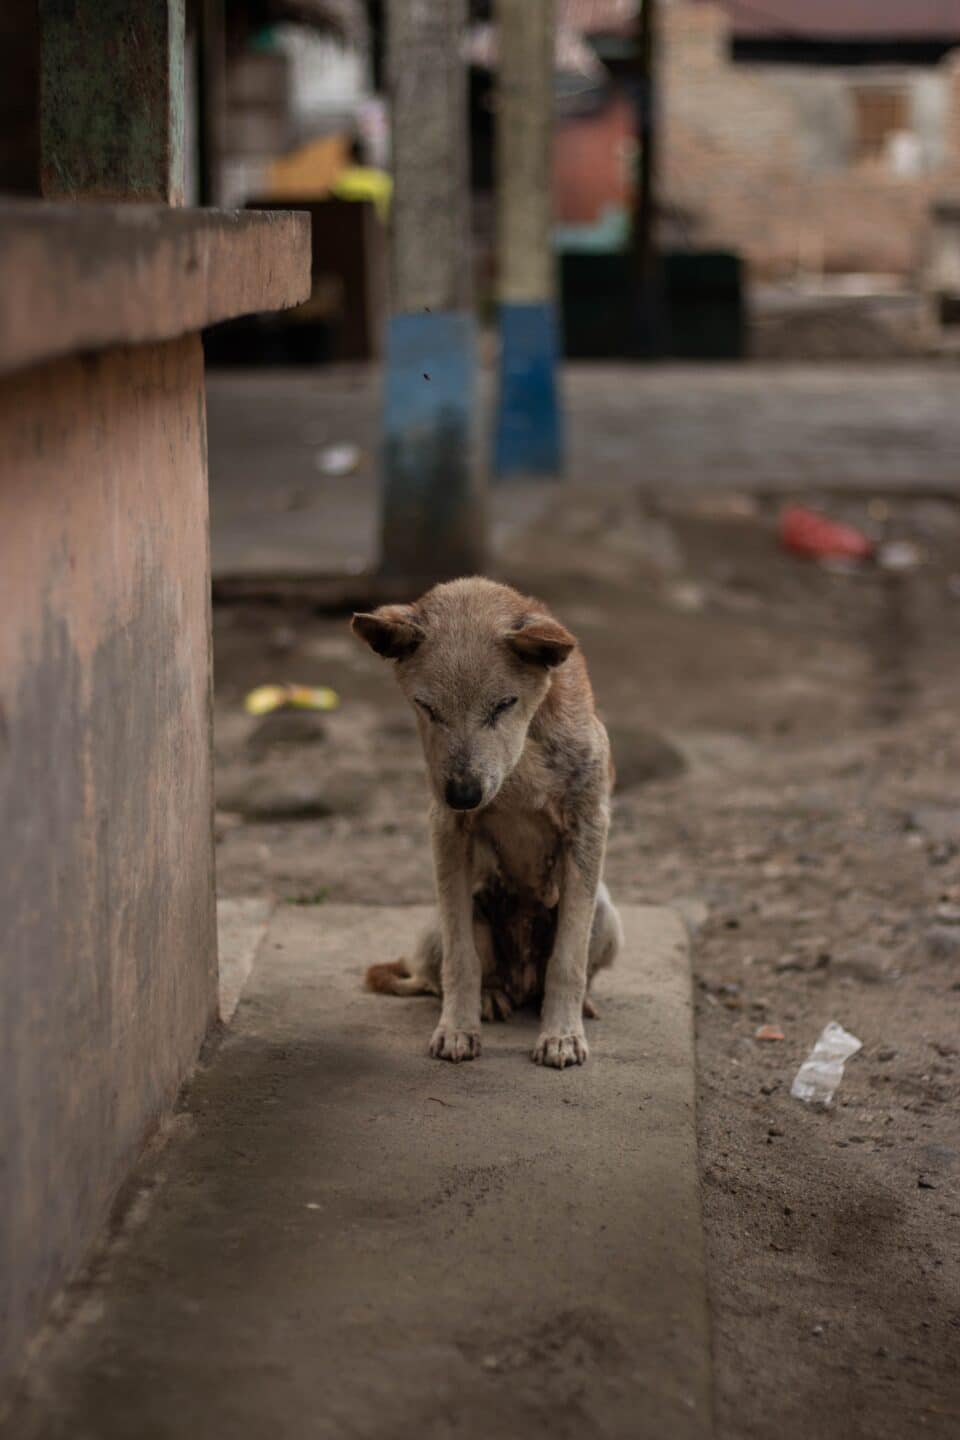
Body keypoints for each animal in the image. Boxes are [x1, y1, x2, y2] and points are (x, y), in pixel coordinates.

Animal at [352, 576, 624, 1071]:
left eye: (503, 705)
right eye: (427, 707)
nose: (463, 795)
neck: (520, 766)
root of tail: (522, 981)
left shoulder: (588, 826)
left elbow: (568, 960)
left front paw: (561, 1035)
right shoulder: (447, 831)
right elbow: (462, 960)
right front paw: (458, 1029)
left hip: (606, 913)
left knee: (566, 969)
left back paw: (579, 1004)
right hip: (446, 919)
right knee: (444, 973)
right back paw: (491, 997)